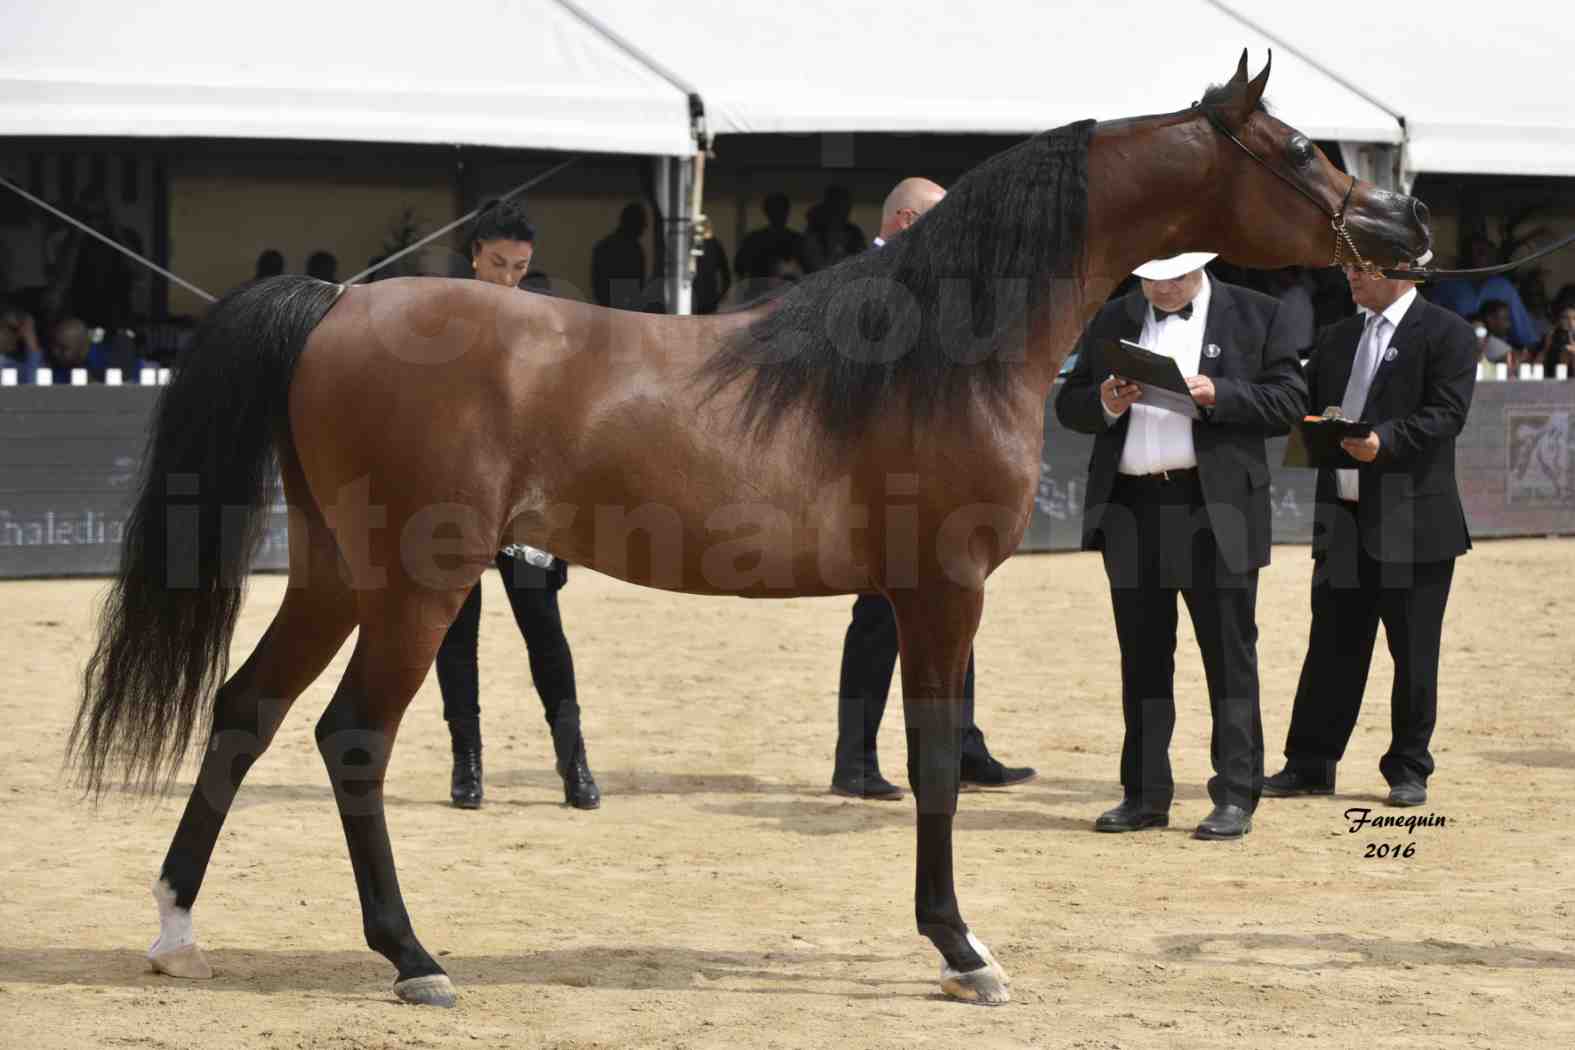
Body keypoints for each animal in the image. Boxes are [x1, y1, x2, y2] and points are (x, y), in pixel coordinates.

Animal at [70, 55, 1430, 1007]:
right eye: (1300, 150)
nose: (1404, 231)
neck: (938, 349)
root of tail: (339, 305)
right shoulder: (944, 592)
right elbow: (933, 765)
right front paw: (961, 949)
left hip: (334, 573)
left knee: (243, 711)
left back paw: (175, 929)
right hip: (415, 587)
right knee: (350, 739)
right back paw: (413, 957)